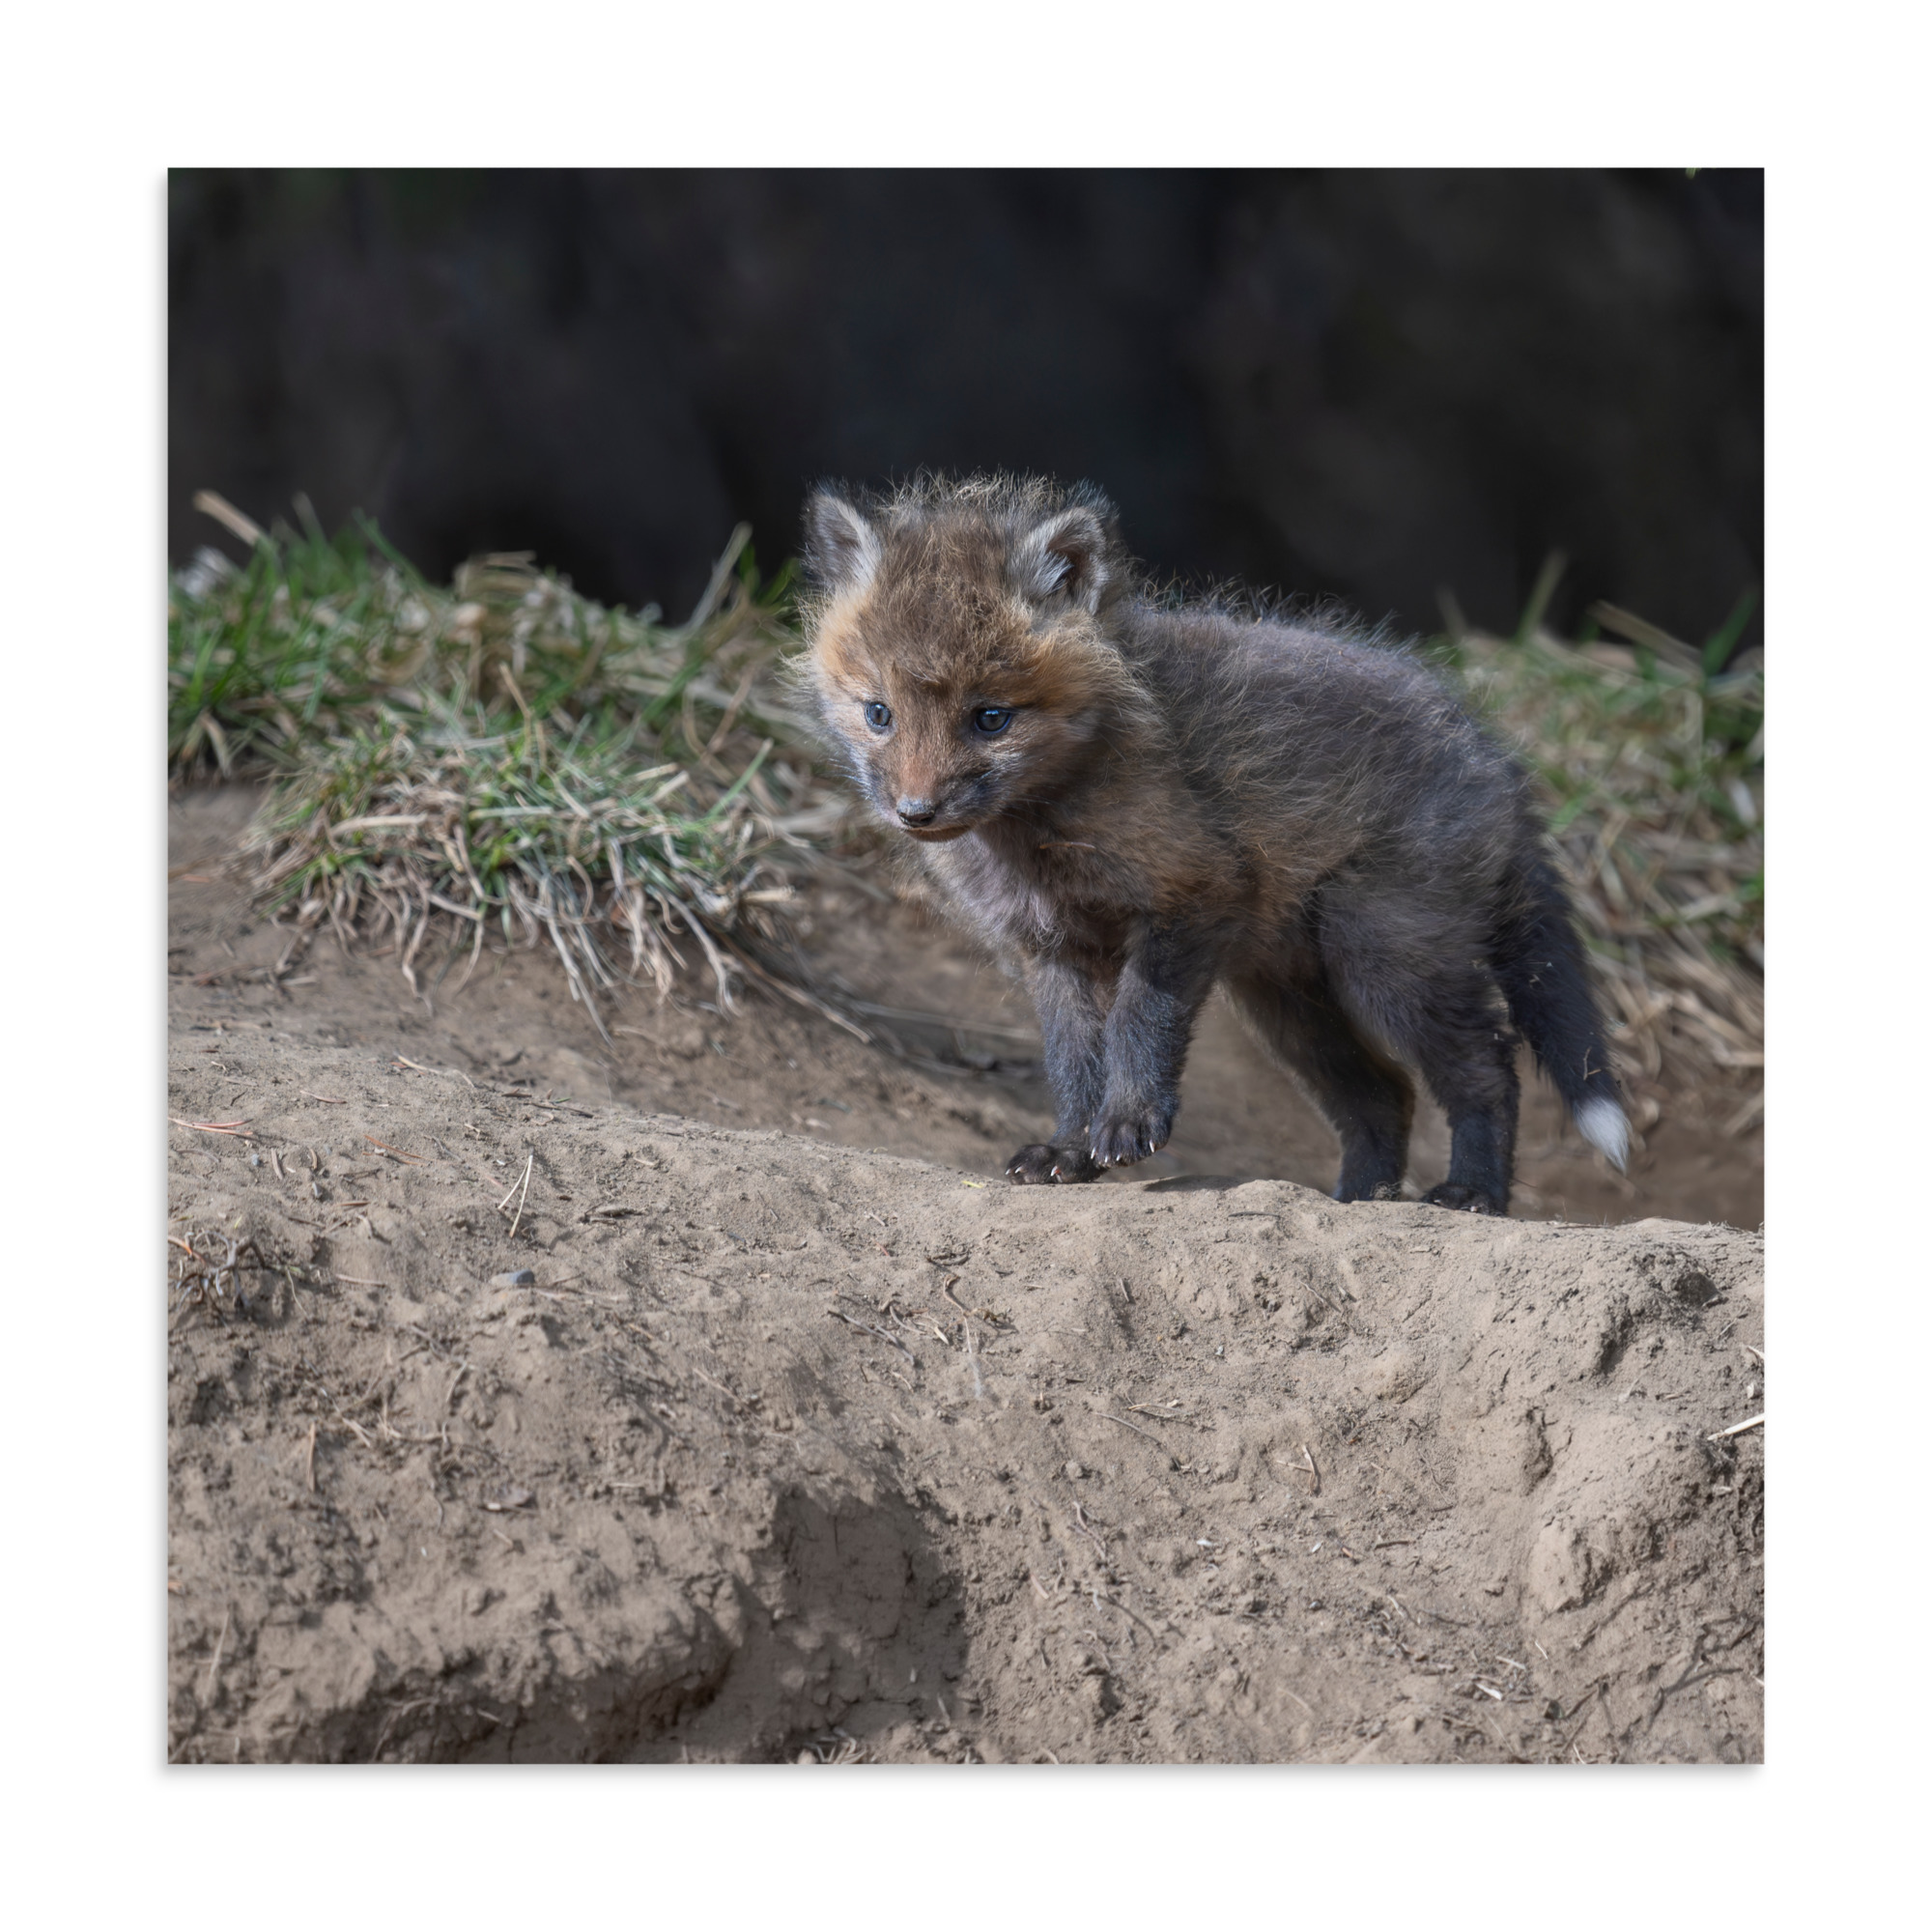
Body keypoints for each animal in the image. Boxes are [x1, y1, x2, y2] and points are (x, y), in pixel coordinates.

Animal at [797, 473, 1629, 1214]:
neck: (1040, 834)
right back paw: (1358, 1200)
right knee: (1384, 1095)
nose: (916, 812)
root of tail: (1496, 758)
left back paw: (1472, 1193)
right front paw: (1068, 1149)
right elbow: (1072, 1061)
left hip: (1385, 958)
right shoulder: (1052, 947)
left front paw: (1128, 1123)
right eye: (878, 713)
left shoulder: (1191, 894)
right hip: (1288, 1000)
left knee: (1488, 1067)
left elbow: (1139, 1022)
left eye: (991, 718)